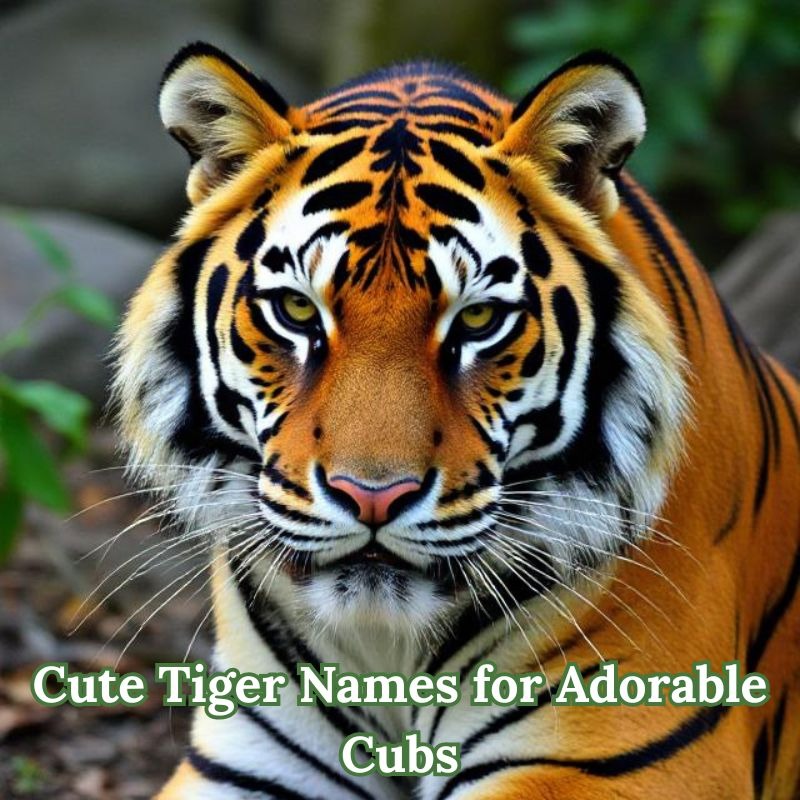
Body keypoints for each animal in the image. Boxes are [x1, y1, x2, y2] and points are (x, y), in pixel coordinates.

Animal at [113, 41, 800, 799]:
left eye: (477, 320)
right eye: (296, 310)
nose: (371, 497)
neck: (386, 651)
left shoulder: (618, 758)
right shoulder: (248, 757)